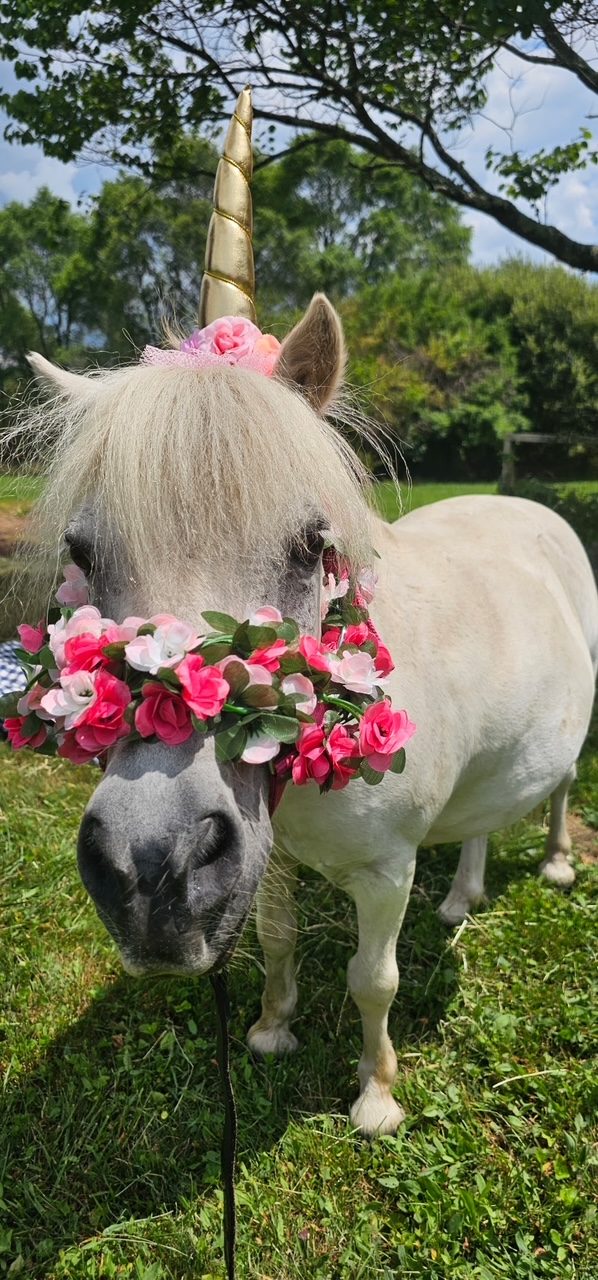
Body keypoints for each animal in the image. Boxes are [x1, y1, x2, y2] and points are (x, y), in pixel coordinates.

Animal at [15, 90, 598, 1137]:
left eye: (311, 544)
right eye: (81, 554)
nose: (151, 873)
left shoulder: (385, 872)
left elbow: (374, 980)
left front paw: (376, 1096)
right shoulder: (268, 855)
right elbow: (280, 940)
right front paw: (270, 1030)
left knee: (563, 785)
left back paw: (561, 865)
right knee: (487, 816)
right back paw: (465, 895)